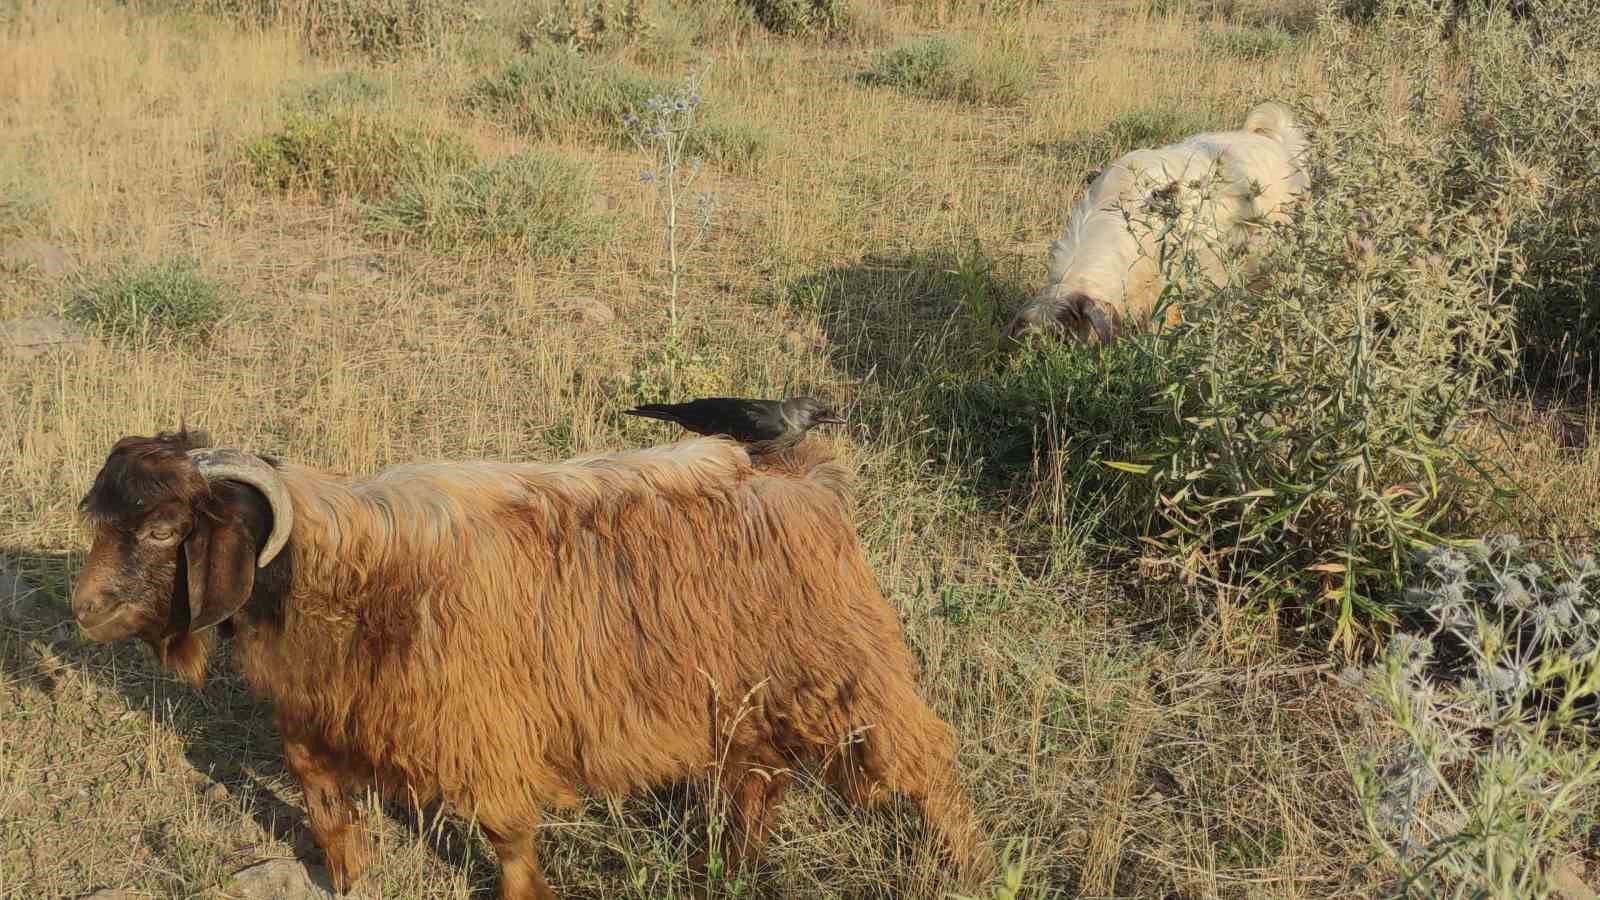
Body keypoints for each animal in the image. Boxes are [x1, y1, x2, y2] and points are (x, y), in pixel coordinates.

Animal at [72, 429, 985, 896]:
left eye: (163, 529)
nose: (84, 610)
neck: (349, 574)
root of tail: (805, 476)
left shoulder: (486, 735)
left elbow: (508, 840)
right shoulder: (316, 725)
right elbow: (330, 816)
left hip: (850, 675)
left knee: (930, 767)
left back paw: (966, 864)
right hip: (744, 696)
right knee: (759, 780)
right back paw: (723, 869)